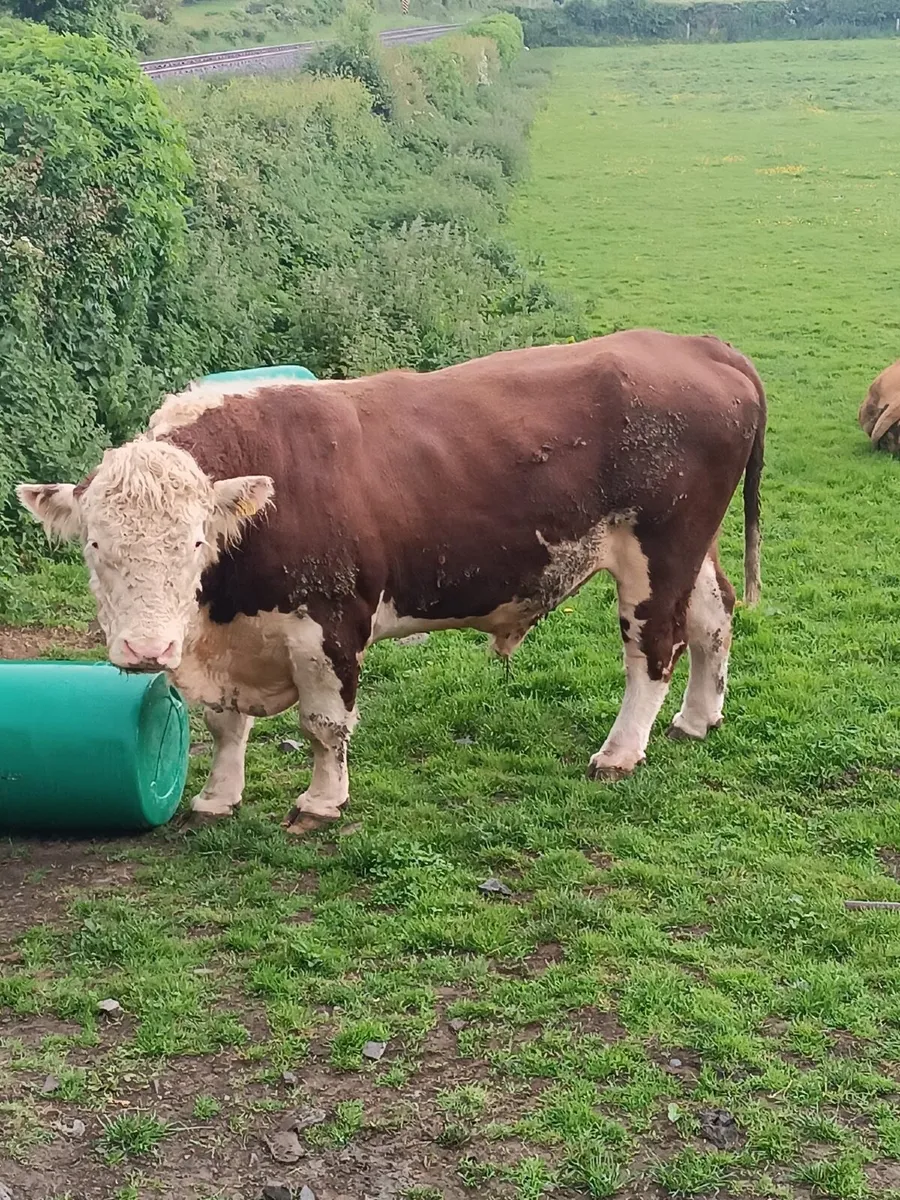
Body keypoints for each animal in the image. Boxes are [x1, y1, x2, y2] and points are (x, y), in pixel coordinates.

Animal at [17, 329, 766, 834]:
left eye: (195, 542)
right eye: (94, 545)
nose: (146, 651)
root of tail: (696, 345)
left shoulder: (329, 622)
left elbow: (324, 724)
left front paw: (321, 802)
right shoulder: (228, 641)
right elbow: (225, 725)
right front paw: (217, 797)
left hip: (657, 551)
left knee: (654, 646)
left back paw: (619, 752)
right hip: (691, 548)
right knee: (712, 618)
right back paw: (697, 718)